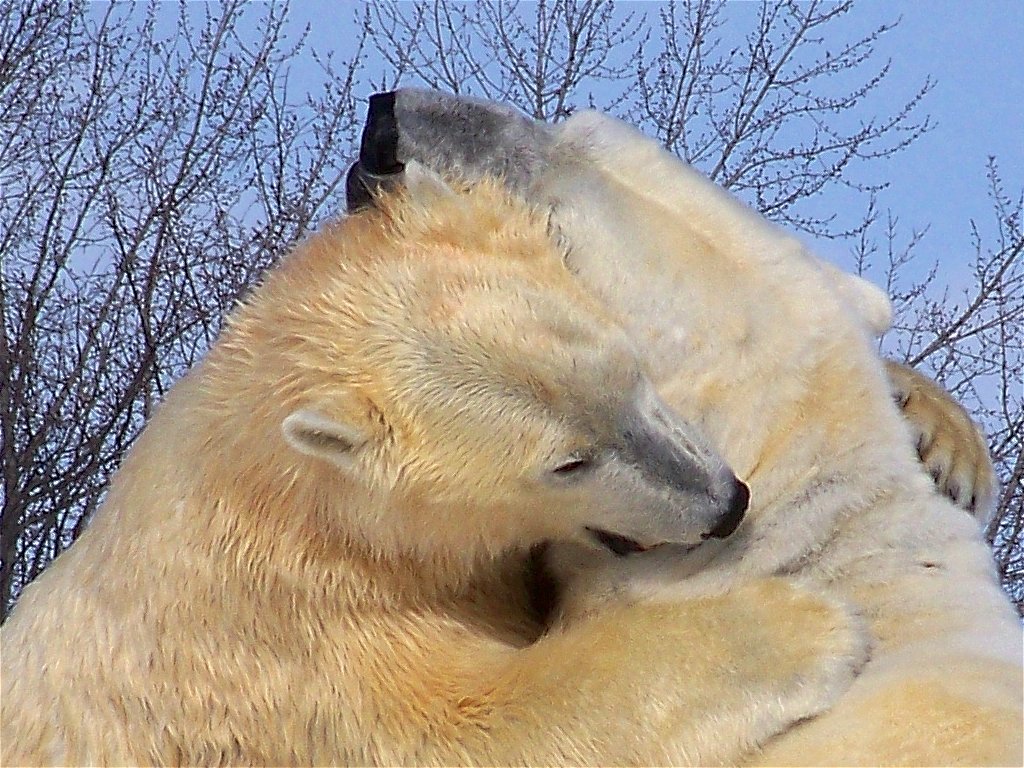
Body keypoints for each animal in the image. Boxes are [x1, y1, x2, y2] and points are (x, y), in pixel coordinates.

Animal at [1, 176, 872, 765]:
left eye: (633, 372)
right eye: (568, 462)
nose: (725, 502)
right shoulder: (300, 653)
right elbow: (470, 728)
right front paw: (812, 629)